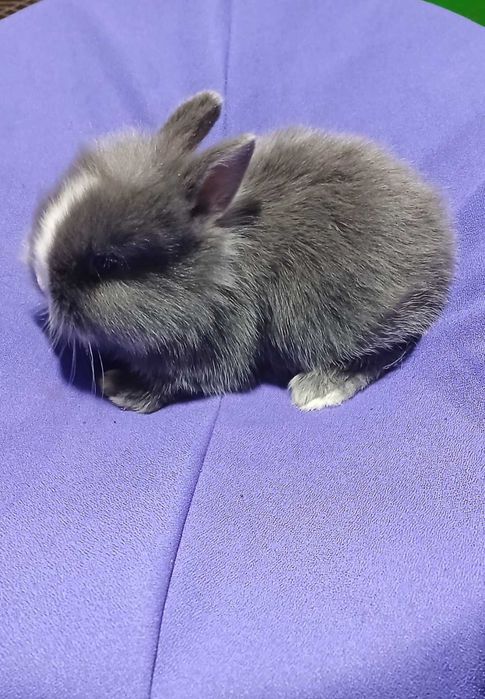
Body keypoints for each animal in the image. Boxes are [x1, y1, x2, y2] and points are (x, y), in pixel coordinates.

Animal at [28, 90, 454, 413]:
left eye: (107, 264)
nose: (42, 282)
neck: (216, 270)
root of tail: (441, 243)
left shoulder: (219, 343)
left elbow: (178, 382)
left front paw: (121, 387)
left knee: (390, 347)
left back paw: (318, 387)